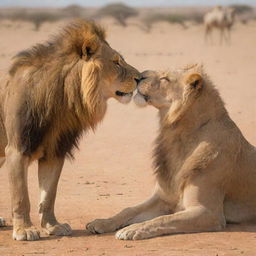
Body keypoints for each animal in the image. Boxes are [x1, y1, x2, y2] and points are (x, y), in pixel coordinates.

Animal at [0, 19, 140, 240]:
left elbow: (49, 195)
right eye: (116, 62)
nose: (140, 77)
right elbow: (21, 197)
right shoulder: (17, 149)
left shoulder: (55, 150)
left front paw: (53, 226)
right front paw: (25, 230)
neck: (62, 98)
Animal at [85, 64, 256, 240]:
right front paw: (102, 222)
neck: (179, 136)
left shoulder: (209, 213)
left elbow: (164, 219)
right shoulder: (163, 197)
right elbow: (129, 209)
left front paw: (132, 229)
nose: (139, 76)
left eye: (165, 79)